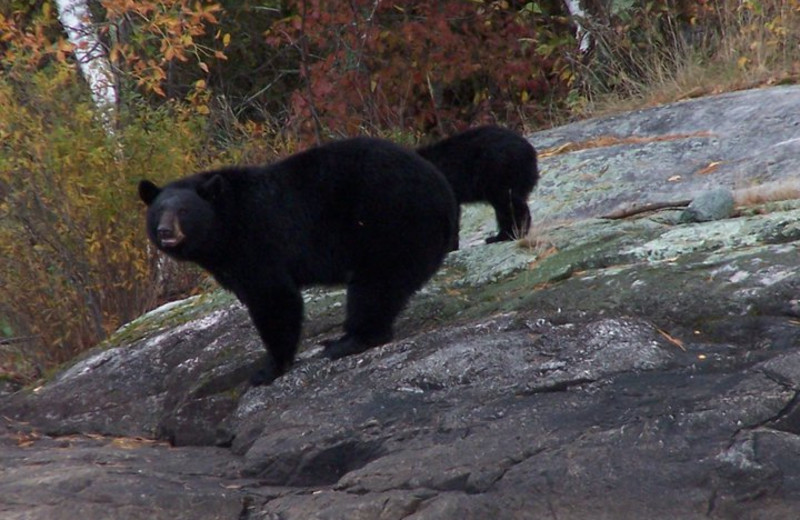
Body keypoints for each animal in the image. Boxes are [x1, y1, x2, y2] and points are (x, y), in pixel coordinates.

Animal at [141, 136, 460, 384]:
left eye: (184, 211)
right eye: (158, 211)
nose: (165, 231)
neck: (226, 225)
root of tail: (443, 191)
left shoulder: (258, 241)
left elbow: (274, 298)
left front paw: (268, 369)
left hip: (390, 222)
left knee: (375, 285)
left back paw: (349, 341)